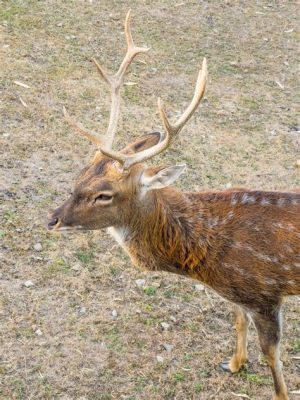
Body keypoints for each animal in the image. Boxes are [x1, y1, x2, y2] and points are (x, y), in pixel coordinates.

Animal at [47, 9, 300, 400]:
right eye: (81, 175)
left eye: (104, 194)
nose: (54, 219)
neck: (207, 258)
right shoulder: (239, 294)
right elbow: (236, 319)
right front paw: (234, 363)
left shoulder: (265, 293)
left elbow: (273, 357)